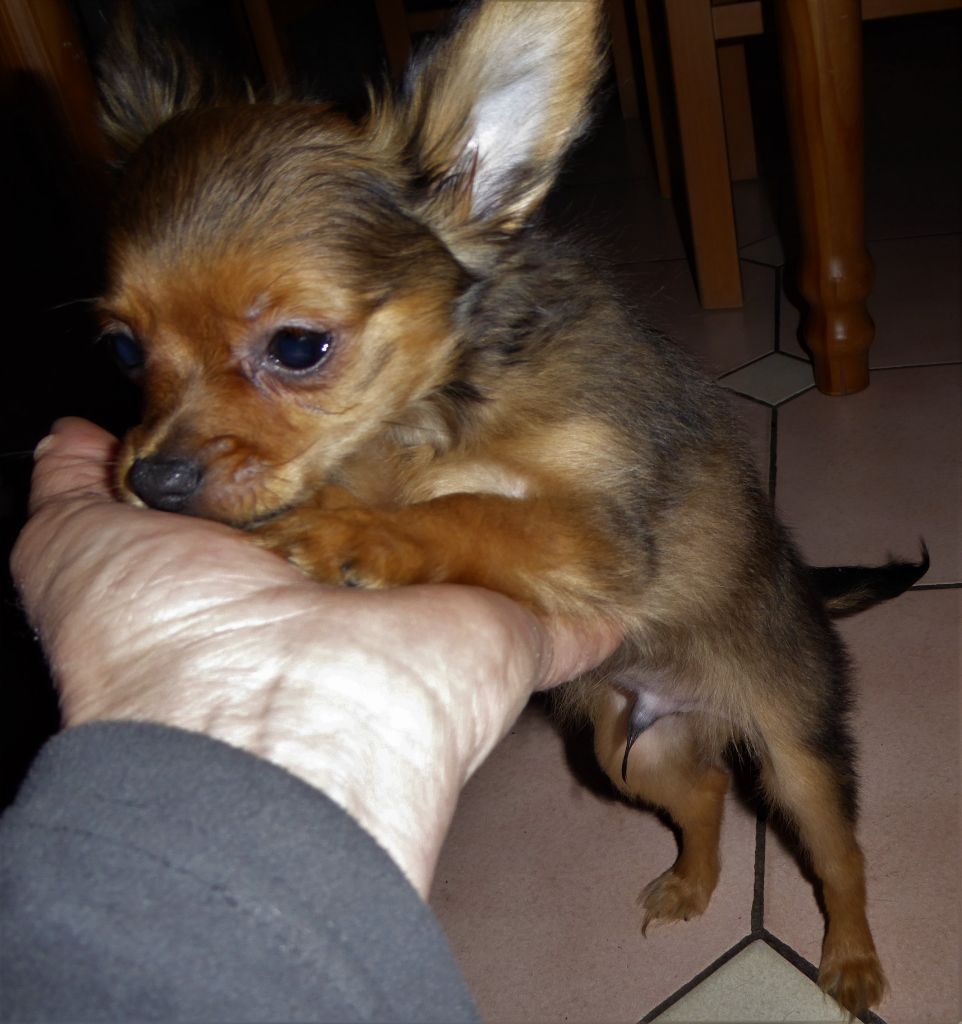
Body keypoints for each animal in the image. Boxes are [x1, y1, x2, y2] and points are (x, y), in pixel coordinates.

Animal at [95, 1, 927, 1015]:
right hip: (629, 745)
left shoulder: (602, 533)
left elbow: (476, 512)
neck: (443, 408)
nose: (153, 482)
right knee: (703, 804)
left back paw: (850, 957)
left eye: (297, 347)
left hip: (794, 754)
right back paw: (691, 885)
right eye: (123, 351)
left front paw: (359, 531)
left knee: (839, 854)